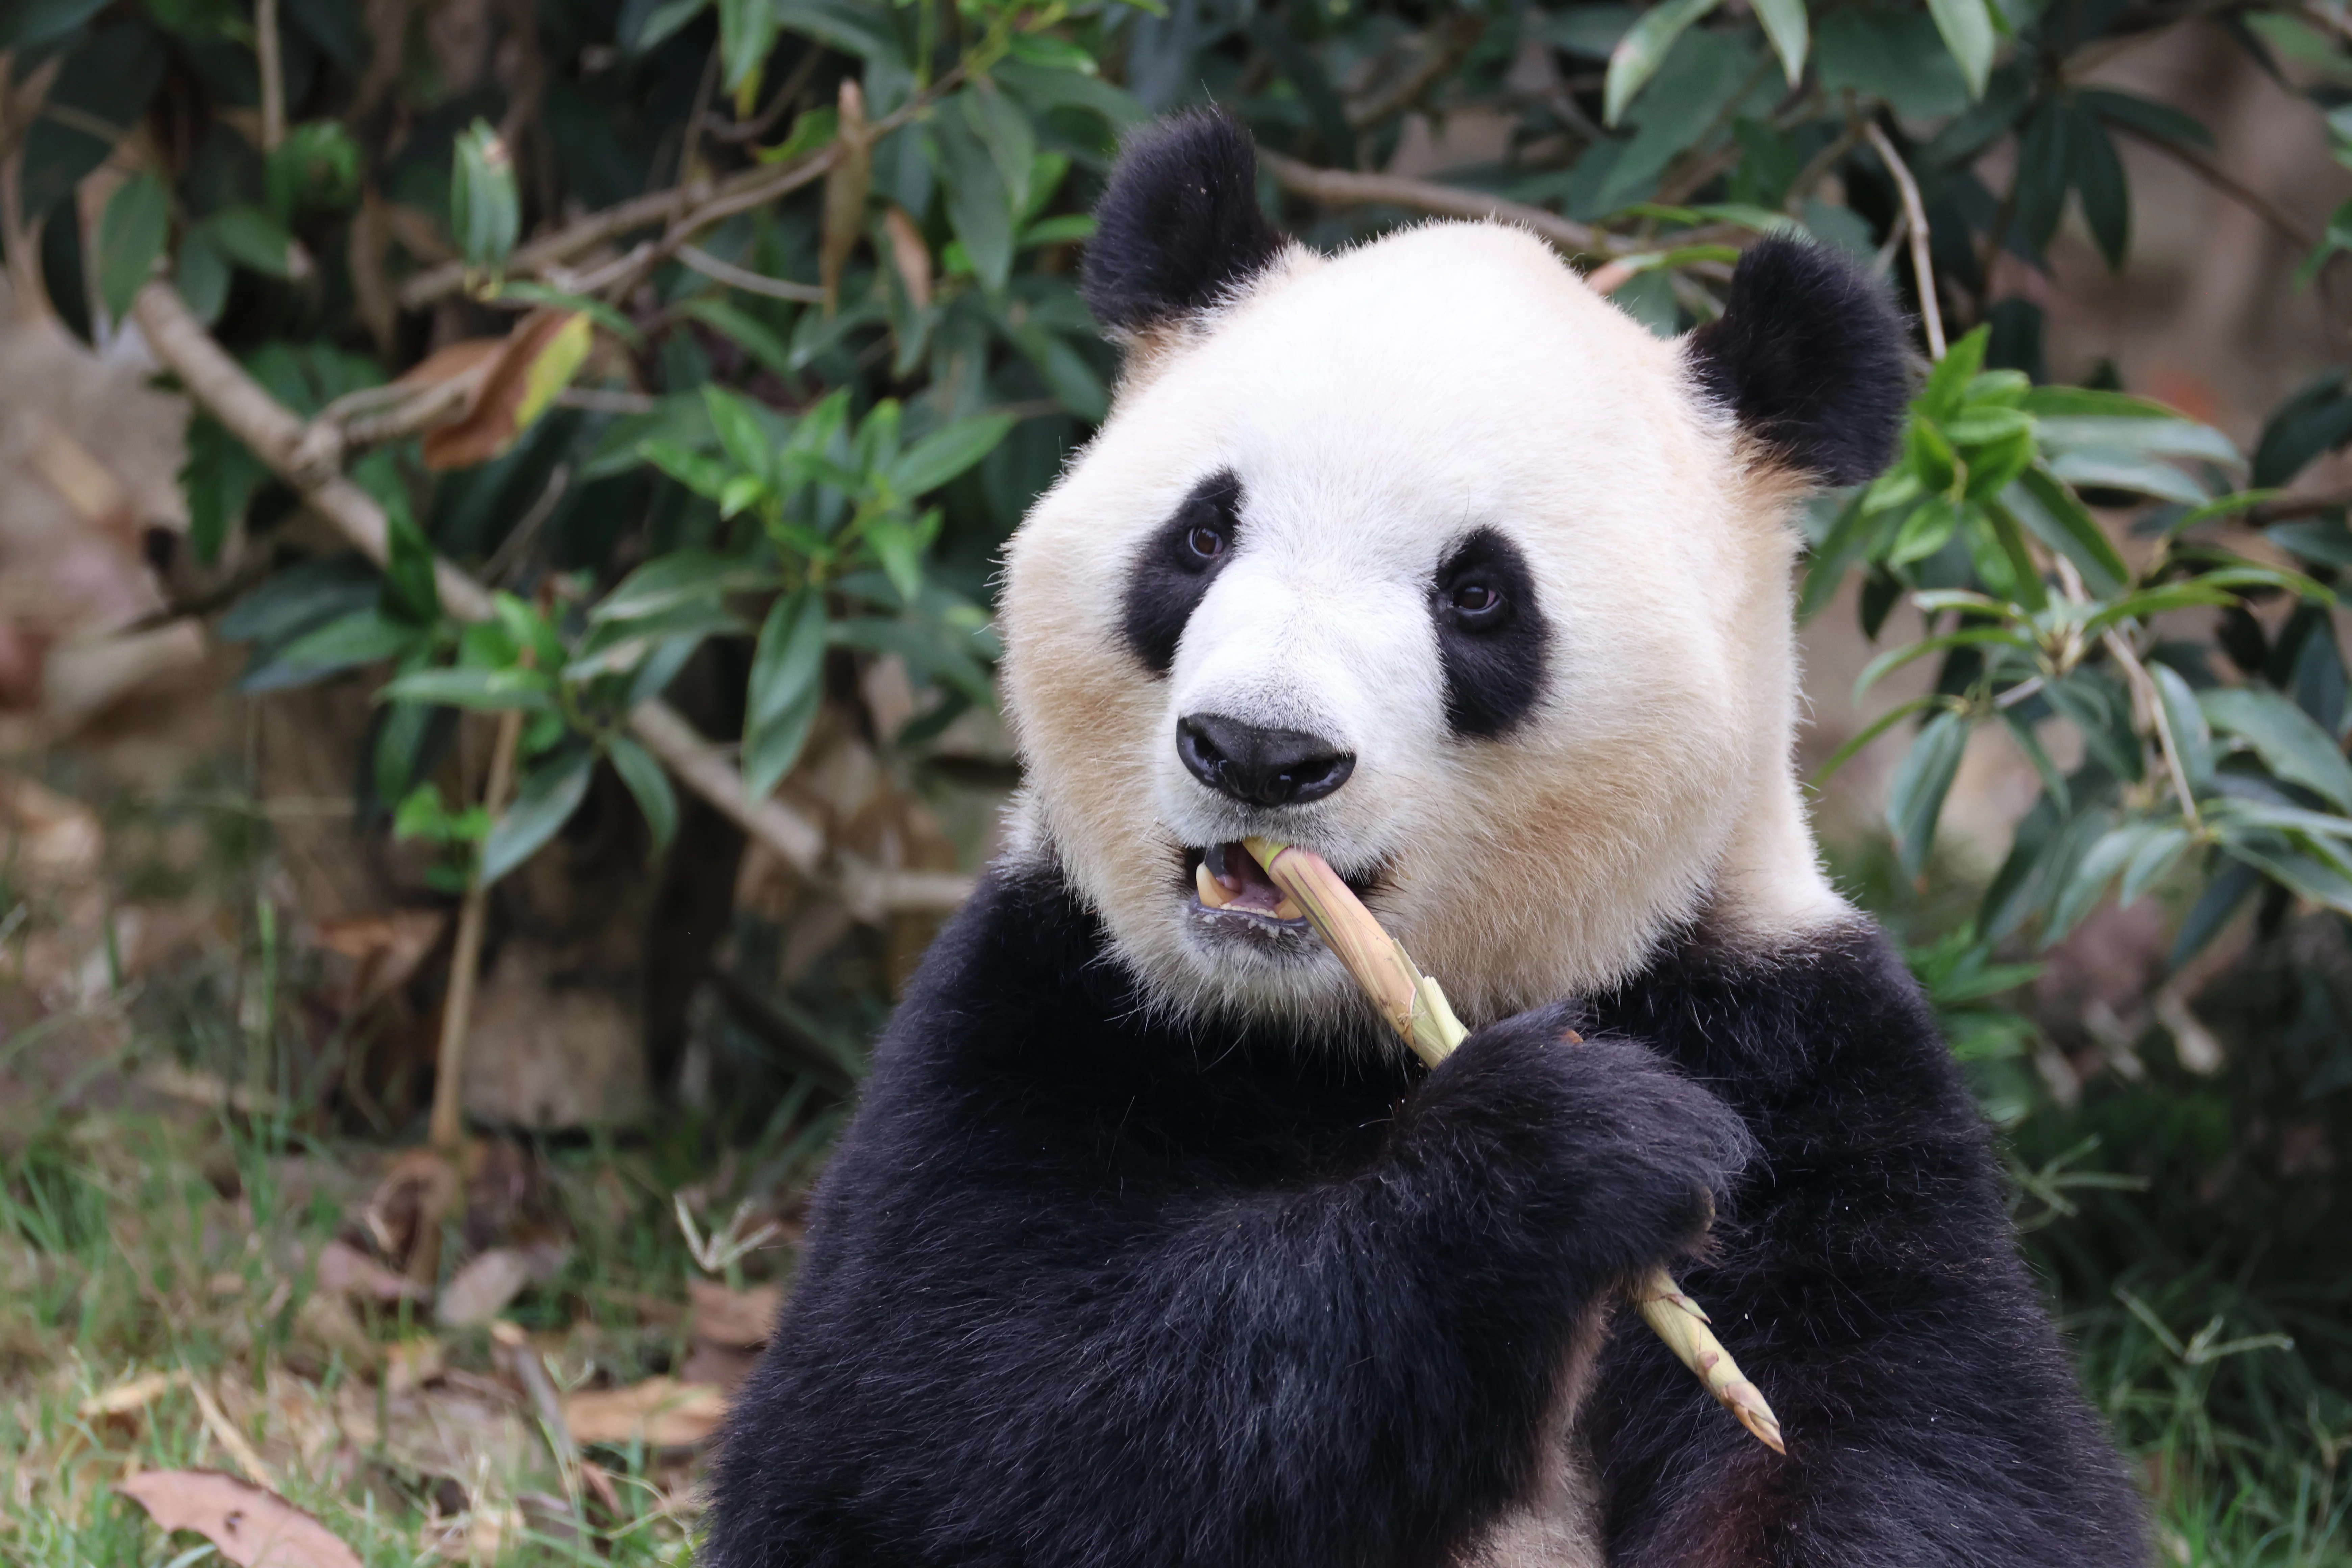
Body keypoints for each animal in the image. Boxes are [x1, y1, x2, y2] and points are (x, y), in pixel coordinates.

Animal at [704, 110, 2148, 1568]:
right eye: (1202, 534)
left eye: (1478, 594)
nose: (1258, 751)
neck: (1329, 1036)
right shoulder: (1045, 999)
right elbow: (937, 1421)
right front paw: (1559, 1150)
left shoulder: (1793, 1051)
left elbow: (1920, 1442)